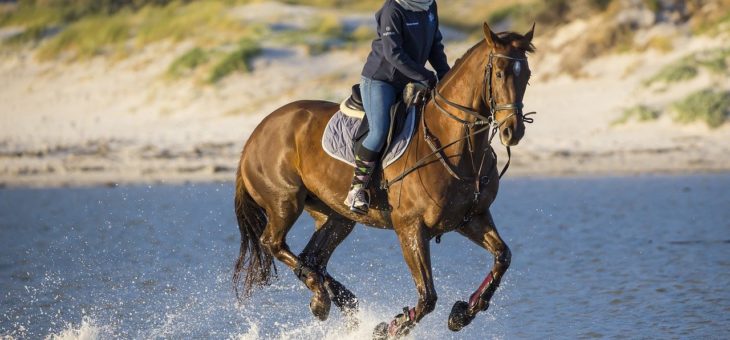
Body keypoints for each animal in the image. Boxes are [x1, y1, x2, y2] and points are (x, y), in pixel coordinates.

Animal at [233, 21, 536, 338]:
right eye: (499, 73)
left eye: (526, 75)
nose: (512, 131)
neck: (454, 145)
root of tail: (255, 134)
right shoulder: (410, 228)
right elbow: (427, 297)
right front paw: (391, 327)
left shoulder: (471, 218)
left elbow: (503, 257)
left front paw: (462, 314)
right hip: (284, 202)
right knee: (274, 243)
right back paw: (322, 299)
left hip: (336, 216)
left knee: (312, 257)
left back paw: (337, 301)